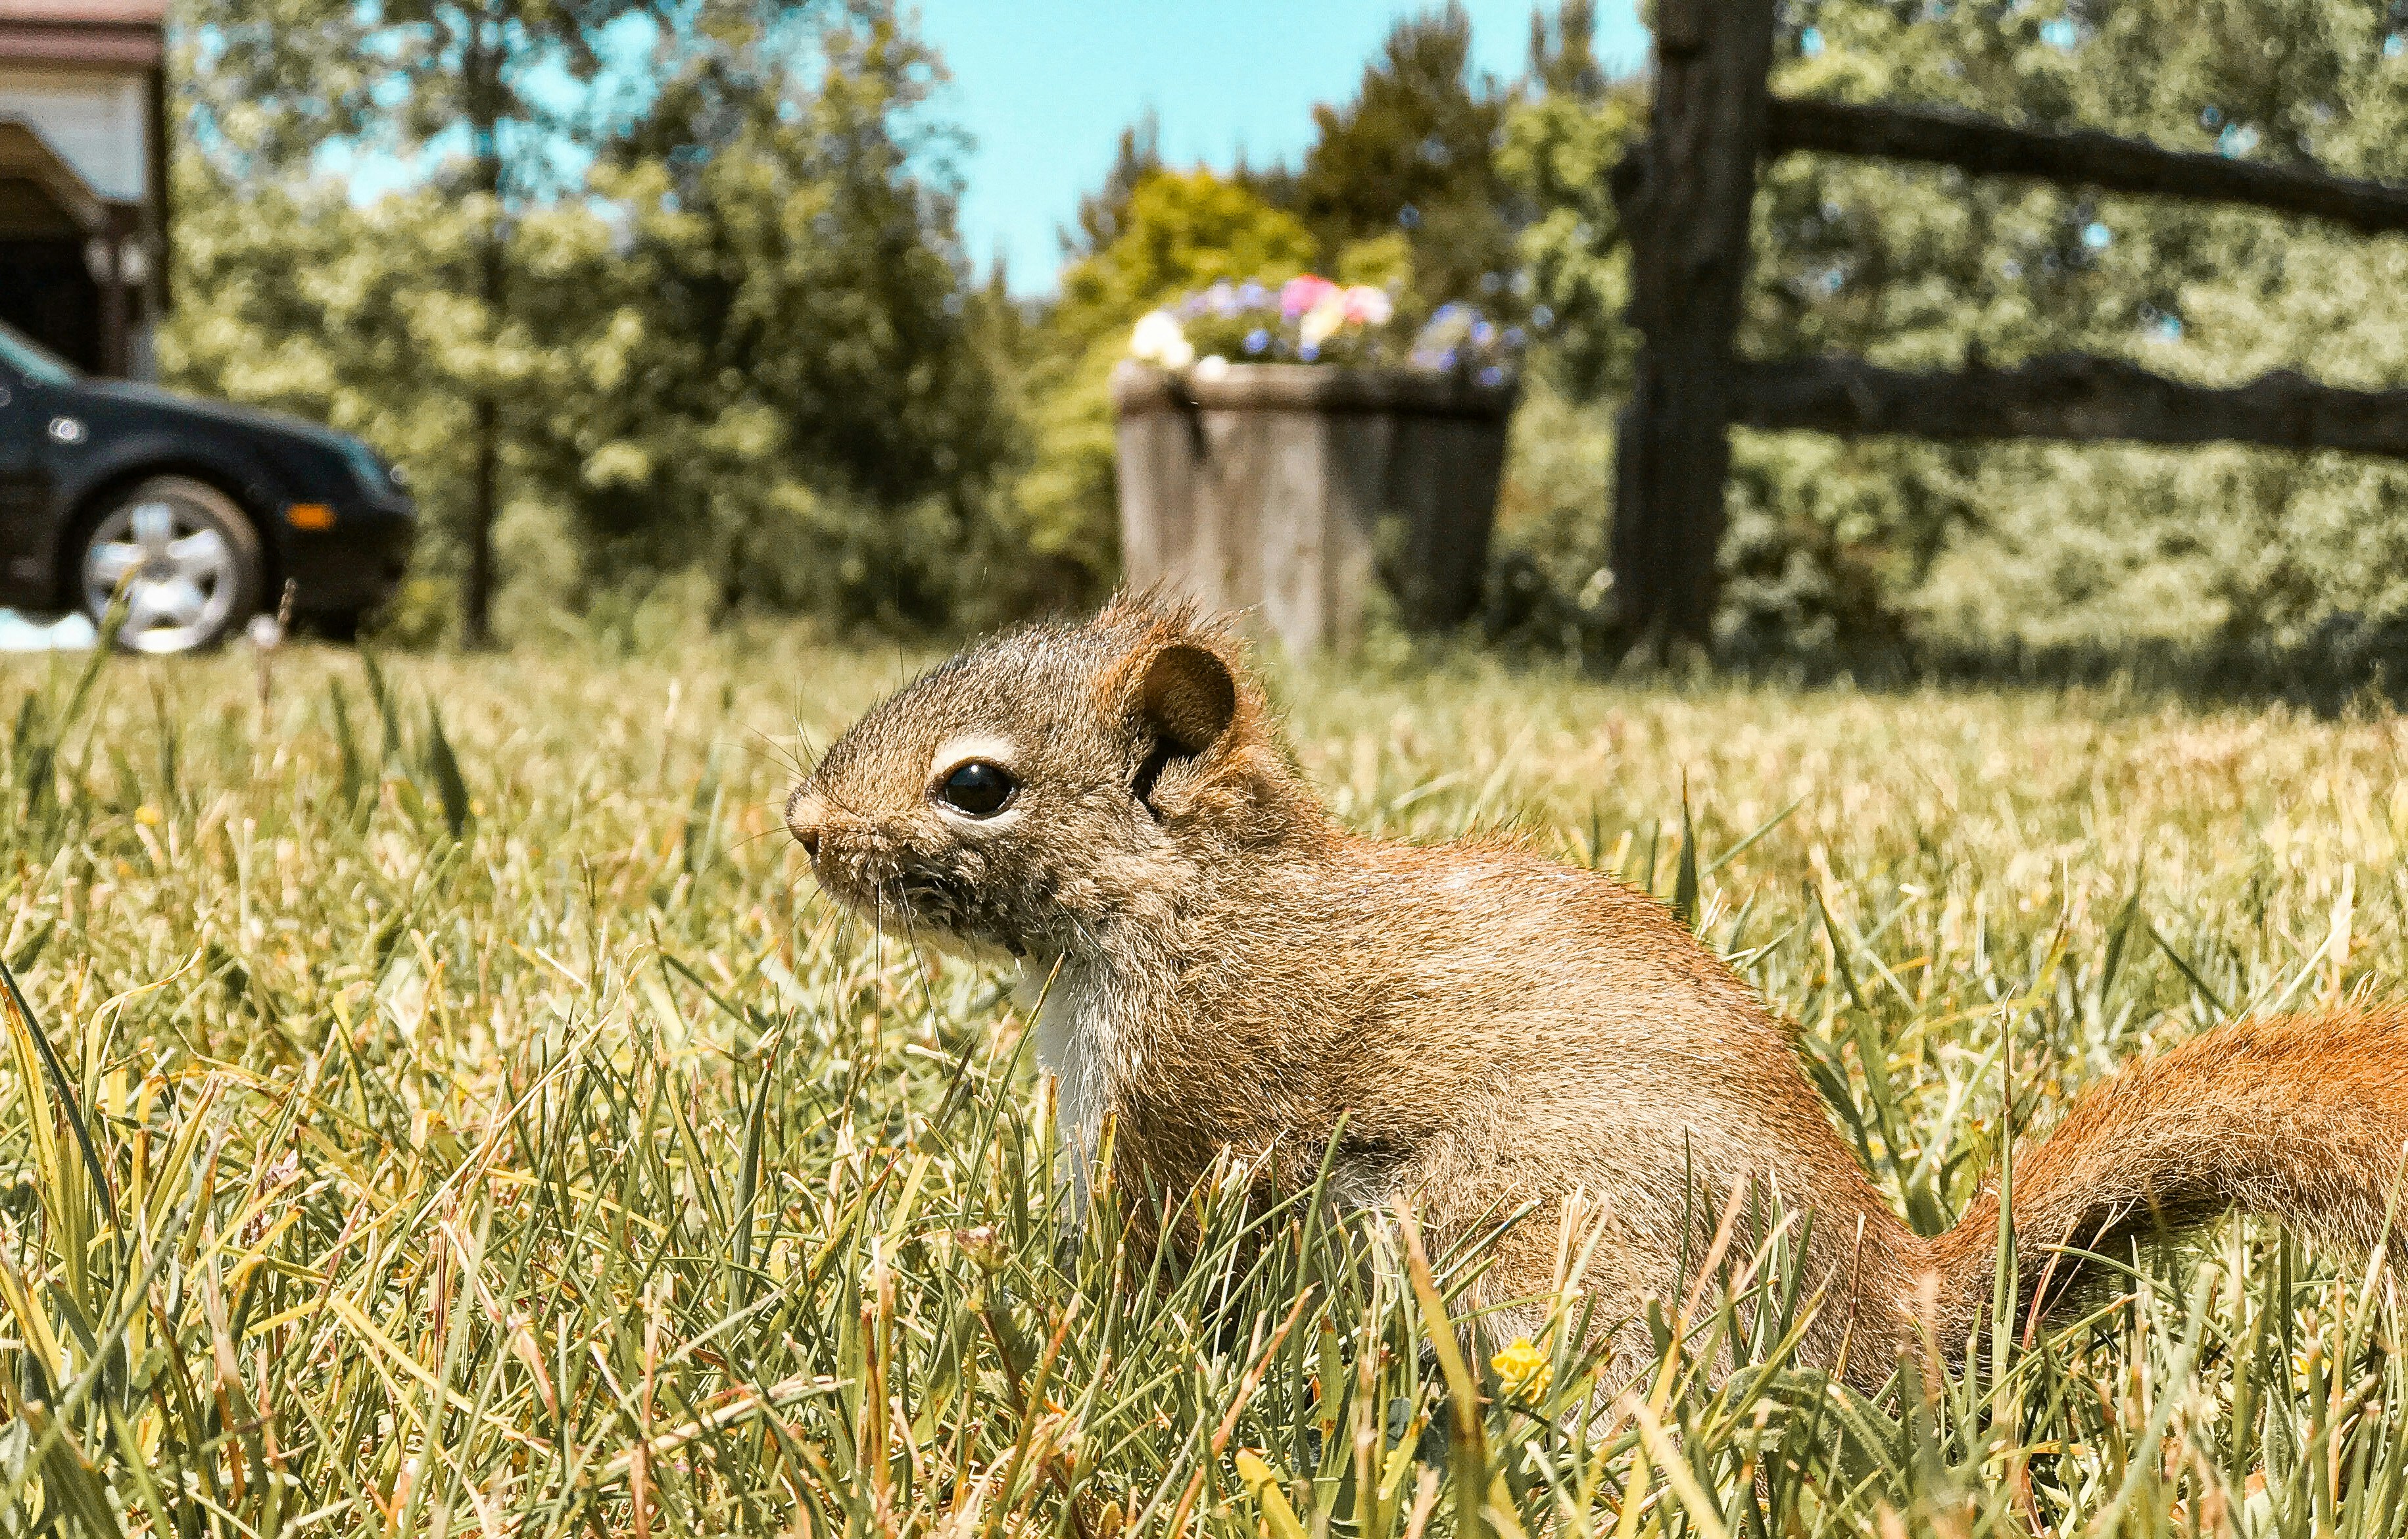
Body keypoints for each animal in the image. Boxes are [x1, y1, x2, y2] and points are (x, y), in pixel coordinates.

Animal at [785, 591, 2408, 1382]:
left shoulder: (1186, 1098)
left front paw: (1051, 1317)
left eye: (976, 786)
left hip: (1533, 1240)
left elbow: (1142, 1262)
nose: (800, 825)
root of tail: (1898, 1319)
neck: (1186, 906)